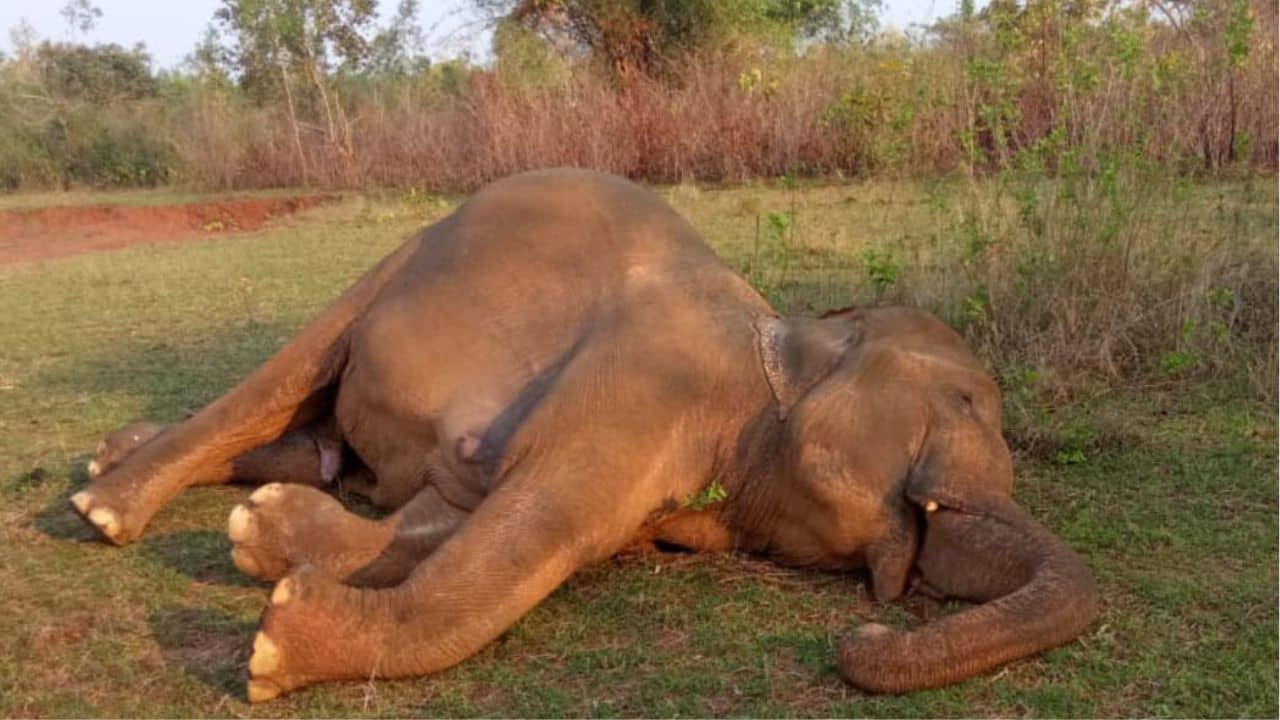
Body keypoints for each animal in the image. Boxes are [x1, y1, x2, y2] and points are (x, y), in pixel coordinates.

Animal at [69, 169, 1097, 702]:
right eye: (968, 403)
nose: (866, 633)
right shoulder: (651, 377)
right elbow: (541, 525)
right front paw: (275, 646)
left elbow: (453, 514)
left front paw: (266, 542)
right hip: (398, 261)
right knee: (294, 365)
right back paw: (103, 507)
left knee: (319, 434)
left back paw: (134, 457)